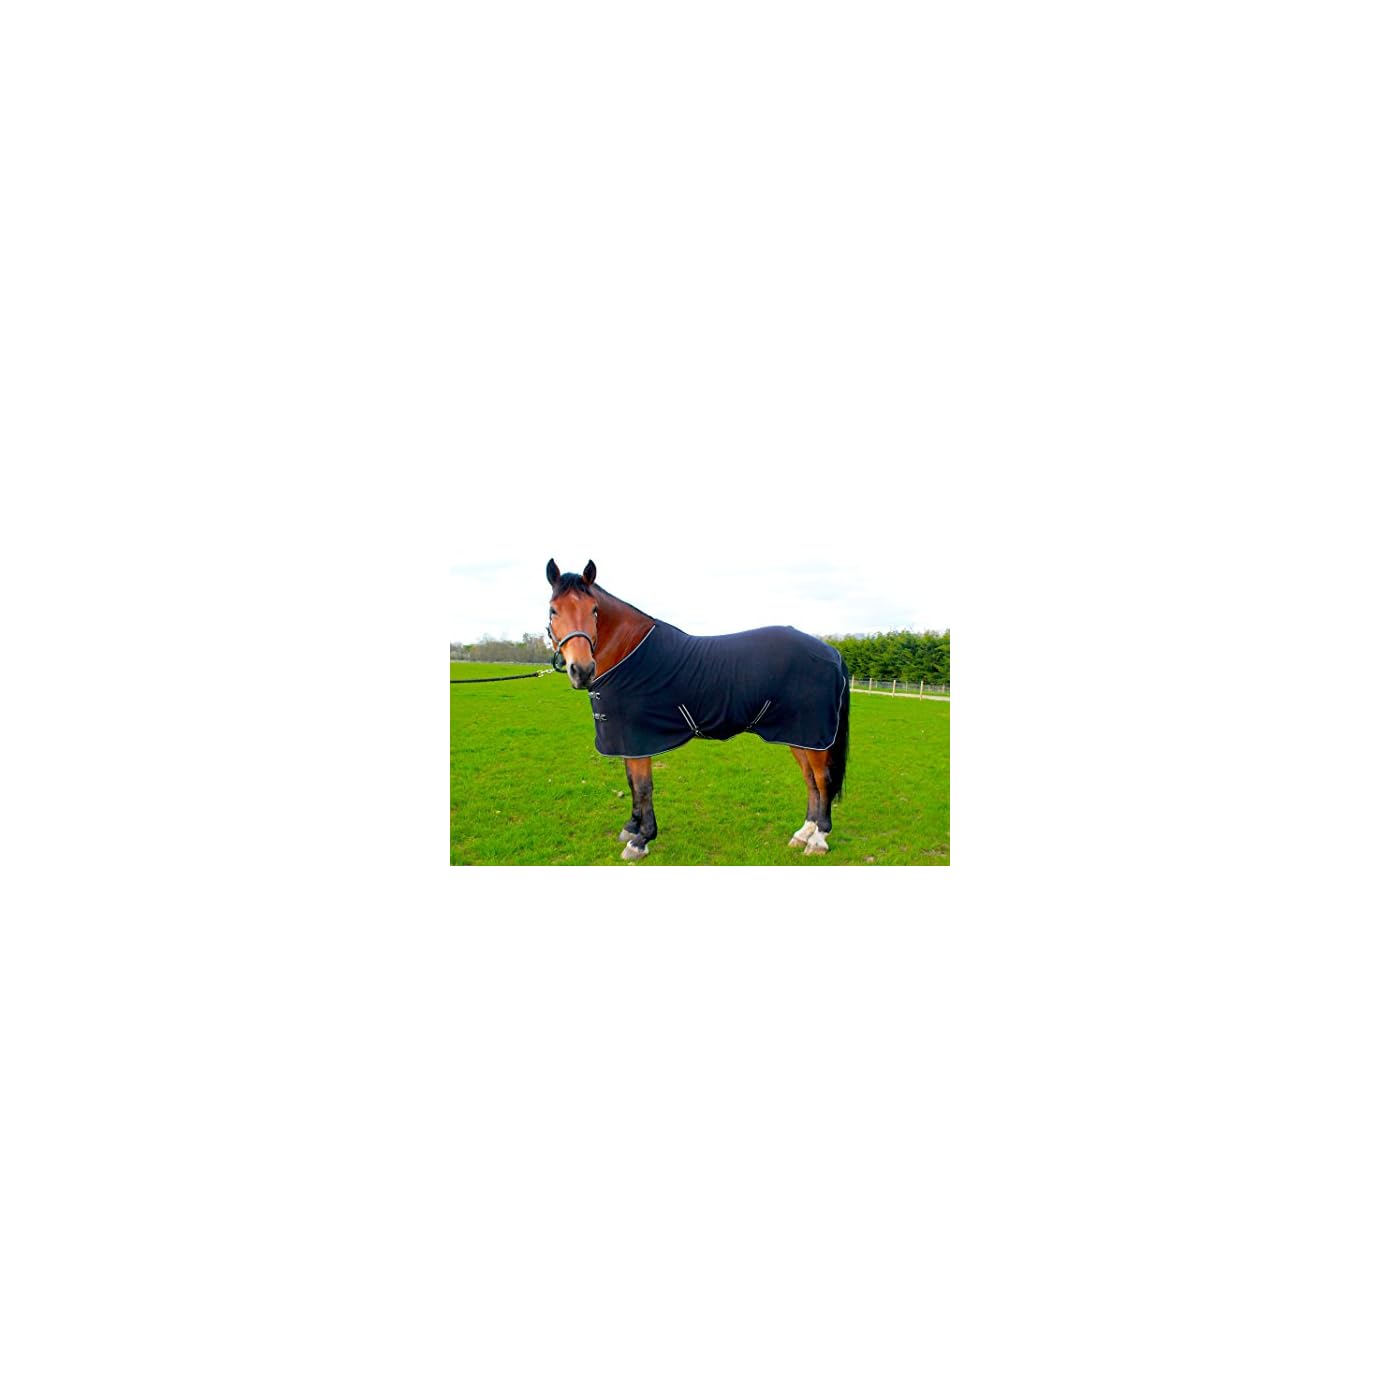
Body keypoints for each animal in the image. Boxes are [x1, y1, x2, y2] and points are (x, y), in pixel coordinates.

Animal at [545, 558, 851, 860]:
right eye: (553, 610)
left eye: (594, 610)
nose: (582, 670)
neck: (628, 652)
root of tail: (832, 652)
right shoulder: (626, 741)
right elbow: (632, 782)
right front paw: (631, 828)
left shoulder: (640, 740)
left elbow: (643, 786)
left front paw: (642, 840)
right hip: (798, 735)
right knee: (810, 781)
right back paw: (803, 834)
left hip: (814, 737)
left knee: (823, 780)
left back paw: (819, 839)